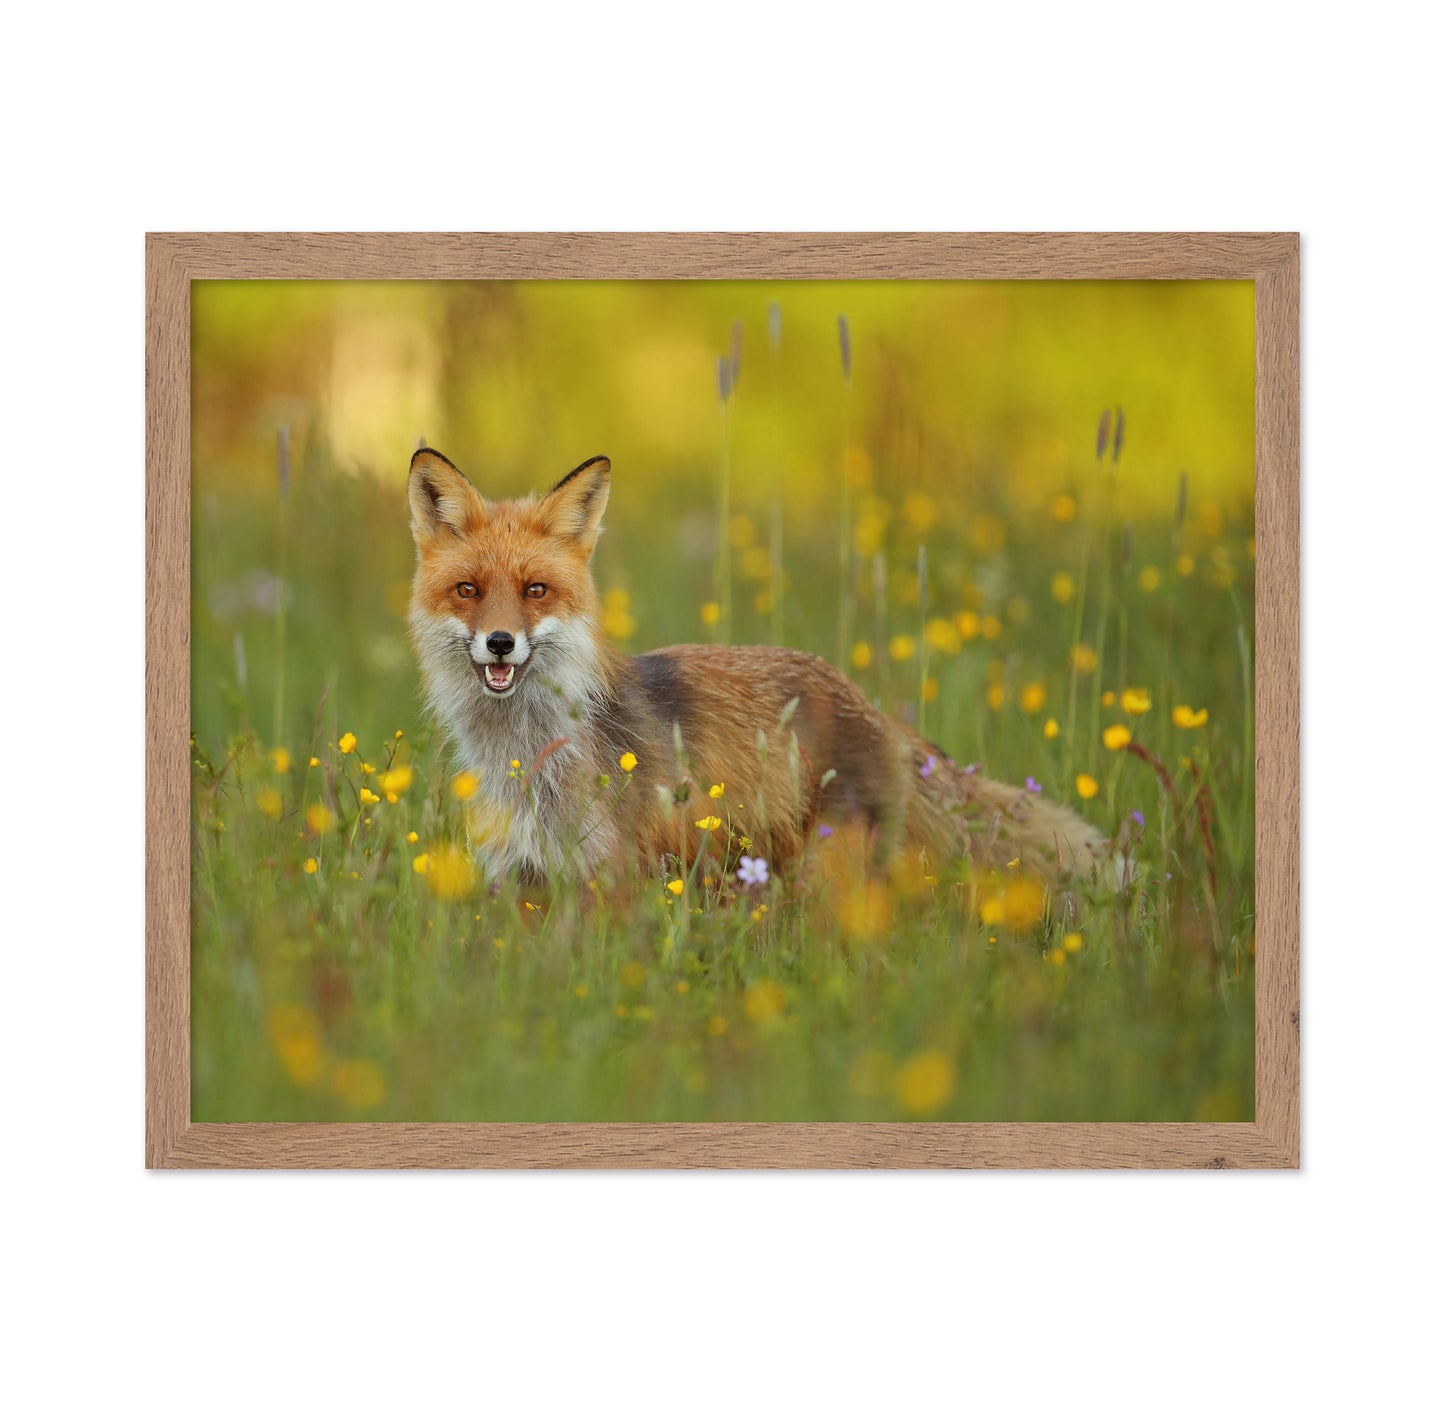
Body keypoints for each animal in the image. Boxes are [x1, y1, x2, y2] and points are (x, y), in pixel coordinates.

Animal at [407, 447, 1116, 892]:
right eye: (468, 591)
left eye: (535, 591)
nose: (500, 643)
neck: (532, 757)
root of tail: (868, 705)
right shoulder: (523, 876)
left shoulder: (610, 874)